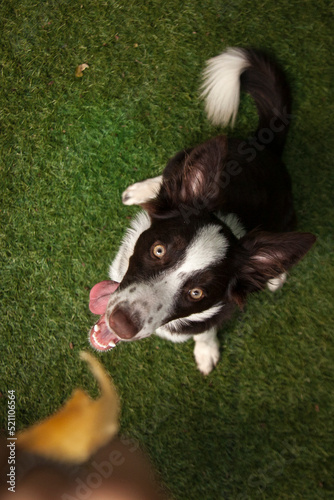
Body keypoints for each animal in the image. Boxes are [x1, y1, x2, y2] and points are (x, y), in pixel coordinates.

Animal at [88, 47, 316, 376]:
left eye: (197, 294)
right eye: (158, 250)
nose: (121, 324)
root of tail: (264, 146)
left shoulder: (217, 312)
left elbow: (206, 330)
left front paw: (206, 352)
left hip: (287, 213)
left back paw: (275, 276)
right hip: (187, 154)